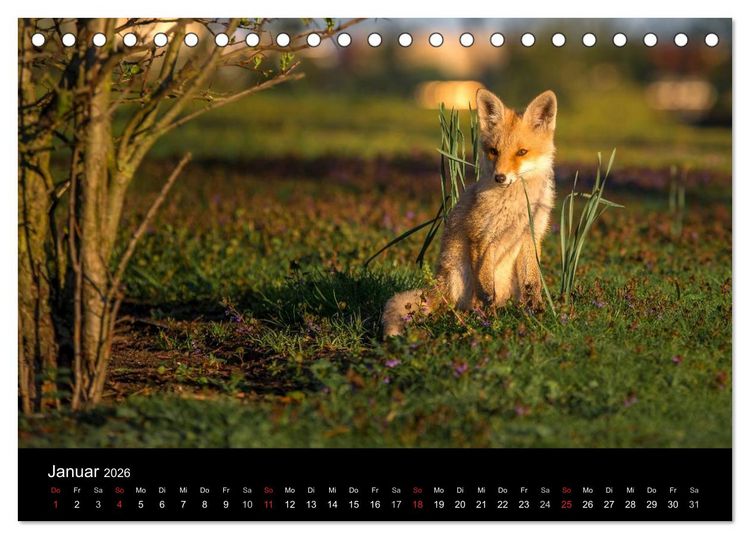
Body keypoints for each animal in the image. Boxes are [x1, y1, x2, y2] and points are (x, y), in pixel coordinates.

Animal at [382, 88, 558, 337]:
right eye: (494, 151)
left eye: (522, 152)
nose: (500, 177)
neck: (516, 206)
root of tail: (438, 287)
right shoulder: (481, 236)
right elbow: (486, 290)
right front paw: (491, 321)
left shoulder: (530, 236)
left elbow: (532, 284)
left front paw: (537, 315)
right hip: (460, 273)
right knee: (456, 307)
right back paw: (468, 318)